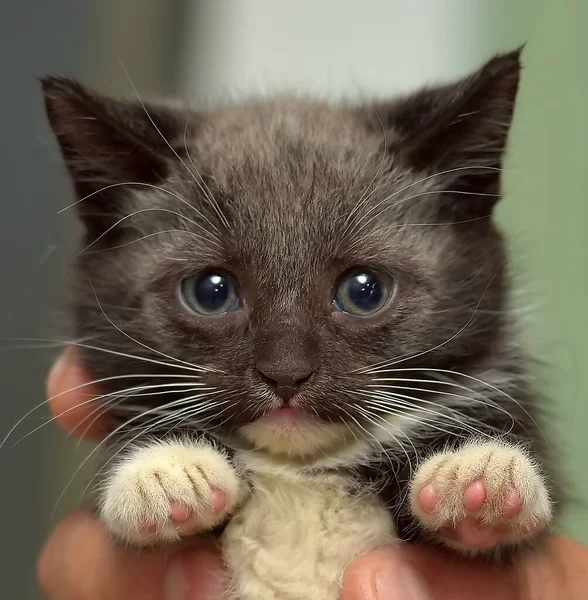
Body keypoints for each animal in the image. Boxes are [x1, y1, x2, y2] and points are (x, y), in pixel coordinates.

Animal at [43, 48, 560, 600]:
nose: (286, 374)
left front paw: (480, 471)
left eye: (364, 290)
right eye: (211, 291)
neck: (299, 473)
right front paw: (162, 472)